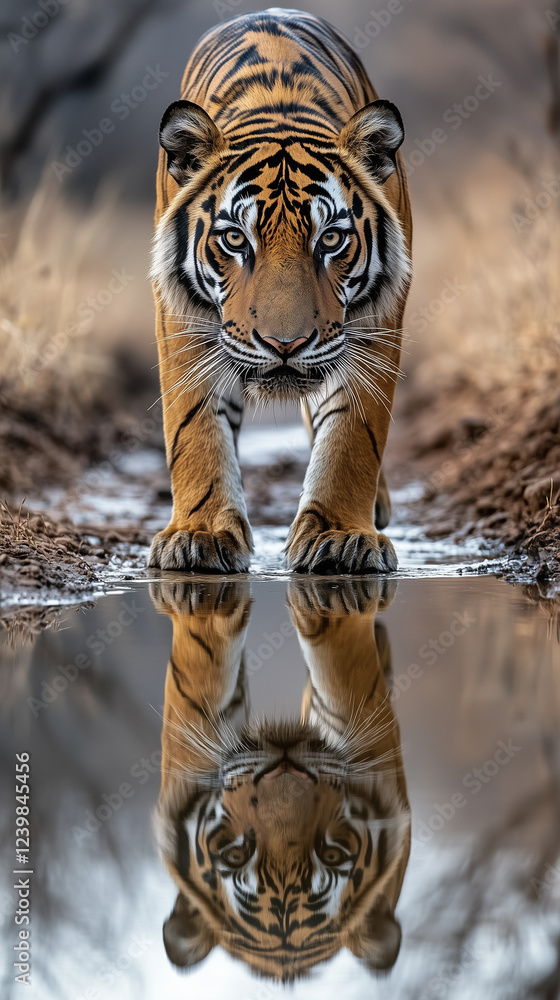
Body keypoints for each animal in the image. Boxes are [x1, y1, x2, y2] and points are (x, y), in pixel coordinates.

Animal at [149, 7, 412, 575]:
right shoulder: (182, 318)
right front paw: (199, 535)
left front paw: (340, 535)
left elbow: (353, 435)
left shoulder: (376, 323)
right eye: (234, 239)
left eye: (330, 238)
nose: (285, 345)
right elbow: (195, 427)